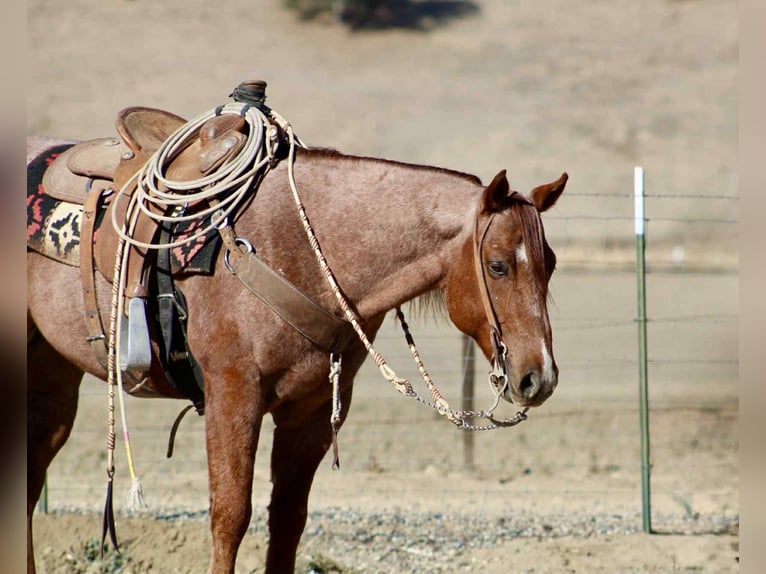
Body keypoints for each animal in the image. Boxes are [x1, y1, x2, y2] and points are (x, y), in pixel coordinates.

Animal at [27, 93, 567, 574]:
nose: (538, 378)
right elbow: (231, 516)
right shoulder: (233, 396)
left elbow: (287, 521)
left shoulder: (310, 412)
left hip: (52, 376)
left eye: (551, 263)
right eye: (497, 265)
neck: (295, 249)